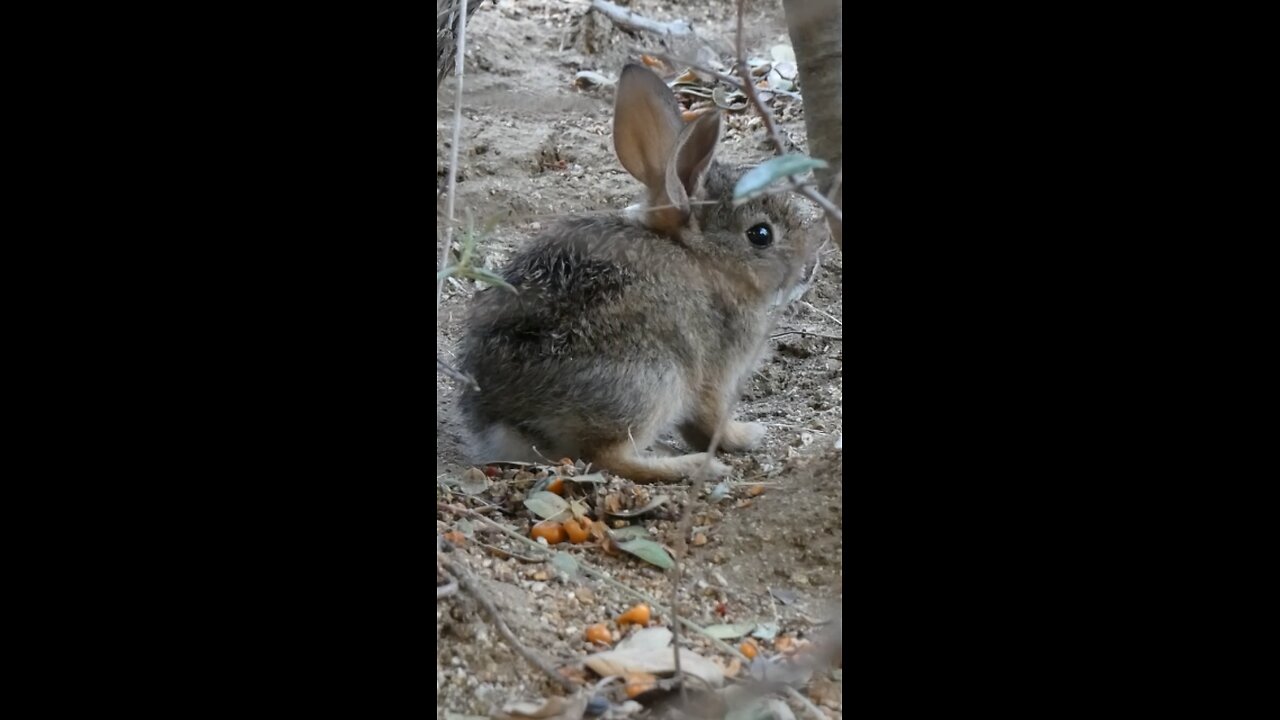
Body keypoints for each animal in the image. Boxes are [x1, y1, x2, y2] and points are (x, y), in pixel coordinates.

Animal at [460, 63, 814, 481]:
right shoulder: (716, 372)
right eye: (761, 235)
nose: (810, 269)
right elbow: (711, 423)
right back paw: (694, 466)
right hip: (655, 380)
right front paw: (745, 437)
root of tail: (506, 420)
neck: (702, 257)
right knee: (607, 457)